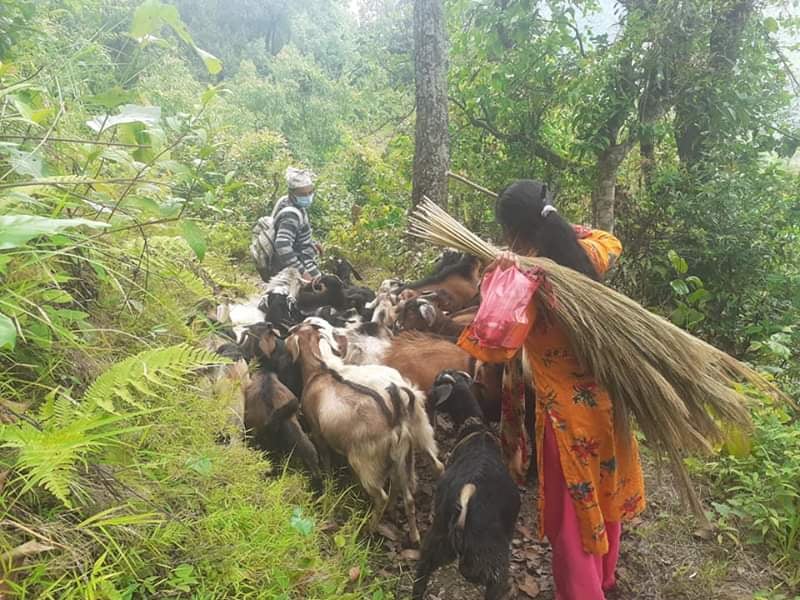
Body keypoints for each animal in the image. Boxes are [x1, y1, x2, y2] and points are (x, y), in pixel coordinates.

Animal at [286, 320, 442, 543]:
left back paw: (368, 528)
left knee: (382, 495)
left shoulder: (318, 431)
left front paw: (328, 478)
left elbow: (325, 457)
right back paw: (413, 533)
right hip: (414, 442)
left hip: (365, 461)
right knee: (420, 482)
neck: (321, 370)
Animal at [413, 370, 520, 600]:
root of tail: (467, 497)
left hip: (436, 543)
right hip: (493, 564)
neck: (476, 426)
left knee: (420, 578)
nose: (426, 396)